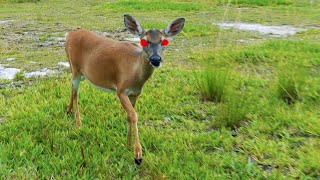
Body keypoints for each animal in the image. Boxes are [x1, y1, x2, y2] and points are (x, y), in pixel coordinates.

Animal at [64, 14, 185, 165]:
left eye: (164, 41)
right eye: (144, 41)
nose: (156, 59)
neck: (135, 74)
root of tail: (69, 35)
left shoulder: (135, 93)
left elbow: (129, 116)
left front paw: (128, 144)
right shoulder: (121, 90)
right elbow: (134, 115)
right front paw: (138, 155)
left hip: (79, 72)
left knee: (72, 88)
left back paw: (68, 111)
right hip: (75, 67)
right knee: (76, 93)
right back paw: (79, 124)